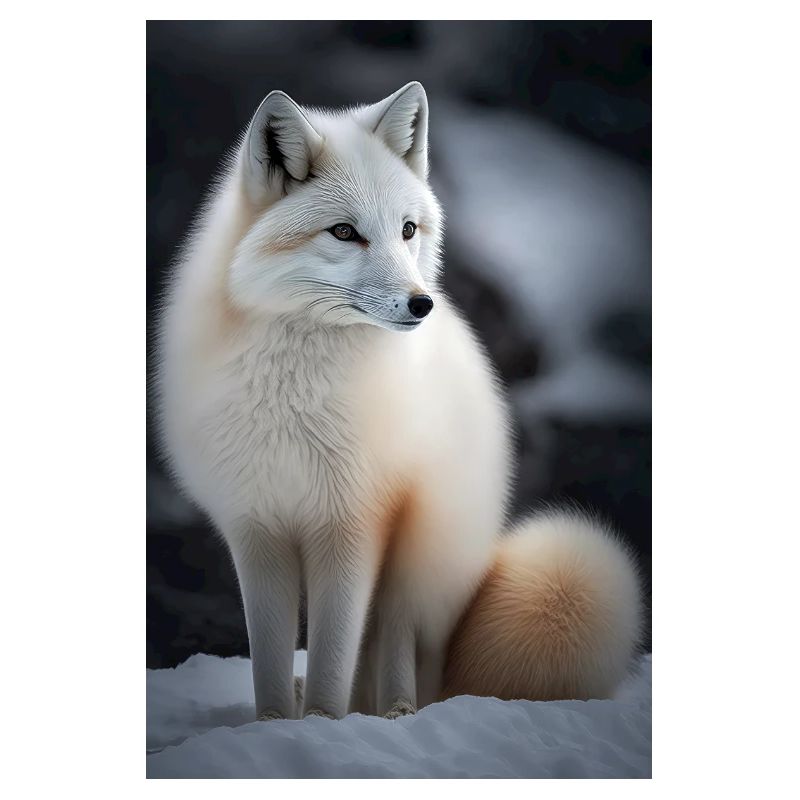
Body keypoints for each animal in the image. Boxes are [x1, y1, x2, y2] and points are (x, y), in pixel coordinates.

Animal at [156, 81, 641, 721]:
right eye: (344, 232)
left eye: (408, 229)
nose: (422, 304)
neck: (292, 397)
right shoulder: (257, 530)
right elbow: (270, 663)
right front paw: (275, 724)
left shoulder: (353, 523)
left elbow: (334, 660)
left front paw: (320, 725)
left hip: (414, 562)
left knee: (396, 643)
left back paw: (395, 713)